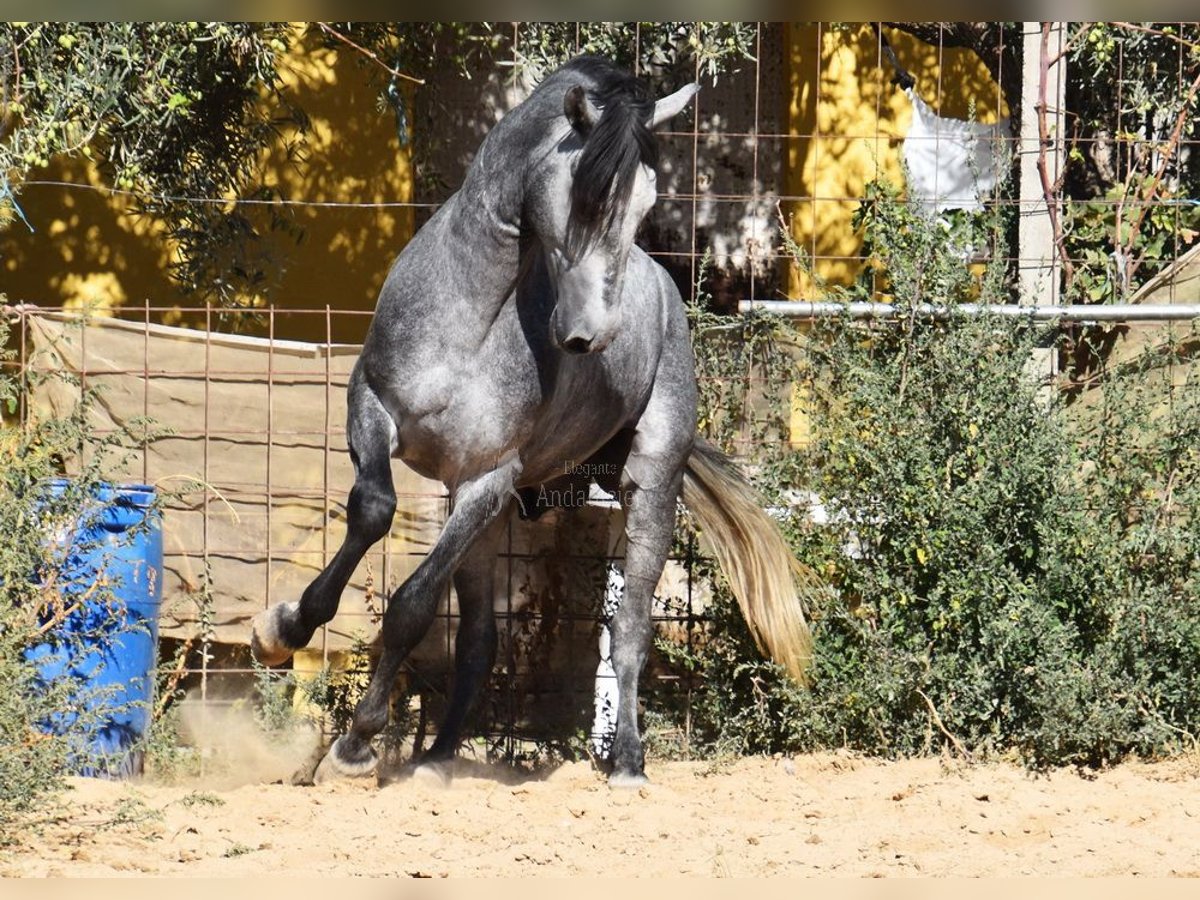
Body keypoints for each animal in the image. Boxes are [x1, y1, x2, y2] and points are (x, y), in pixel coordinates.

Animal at [252, 56, 816, 787]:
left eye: (645, 202)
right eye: (585, 195)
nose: (592, 335)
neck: (464, 326)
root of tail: (666, 289)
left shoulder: (488, 480)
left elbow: (411, 605)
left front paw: (354, 745)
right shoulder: (373, 413)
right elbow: (373, 511)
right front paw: (281, 628)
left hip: (643, 488)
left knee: (629, 631)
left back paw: (627, 764)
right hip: (487, 519)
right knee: (480, 640)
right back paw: (438, 759)